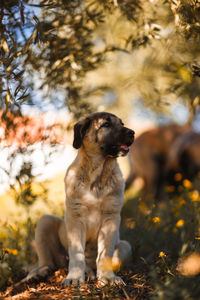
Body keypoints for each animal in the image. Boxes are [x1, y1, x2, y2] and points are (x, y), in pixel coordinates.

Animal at [24, 112, 134, 286]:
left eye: (121, 124)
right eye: (106, 124)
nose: (132, 133)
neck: (98, 175)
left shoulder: (111, 217)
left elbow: (105, 253)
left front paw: (108, 277)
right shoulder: (75, 217)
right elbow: (76, 252)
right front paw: (75, 277)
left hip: (125, 245)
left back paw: (91, 271)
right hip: (45, 221)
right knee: (48, 263)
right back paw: (37, 274)